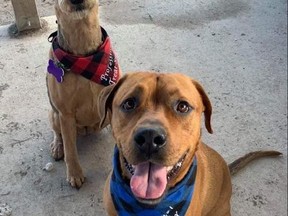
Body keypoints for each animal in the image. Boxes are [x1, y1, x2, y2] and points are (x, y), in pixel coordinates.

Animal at [46, 0, 120, 187]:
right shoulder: (65, 114)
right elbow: (70, 149)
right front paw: (75, 174)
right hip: (54, 114)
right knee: (58, 134)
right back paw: (57, 147)